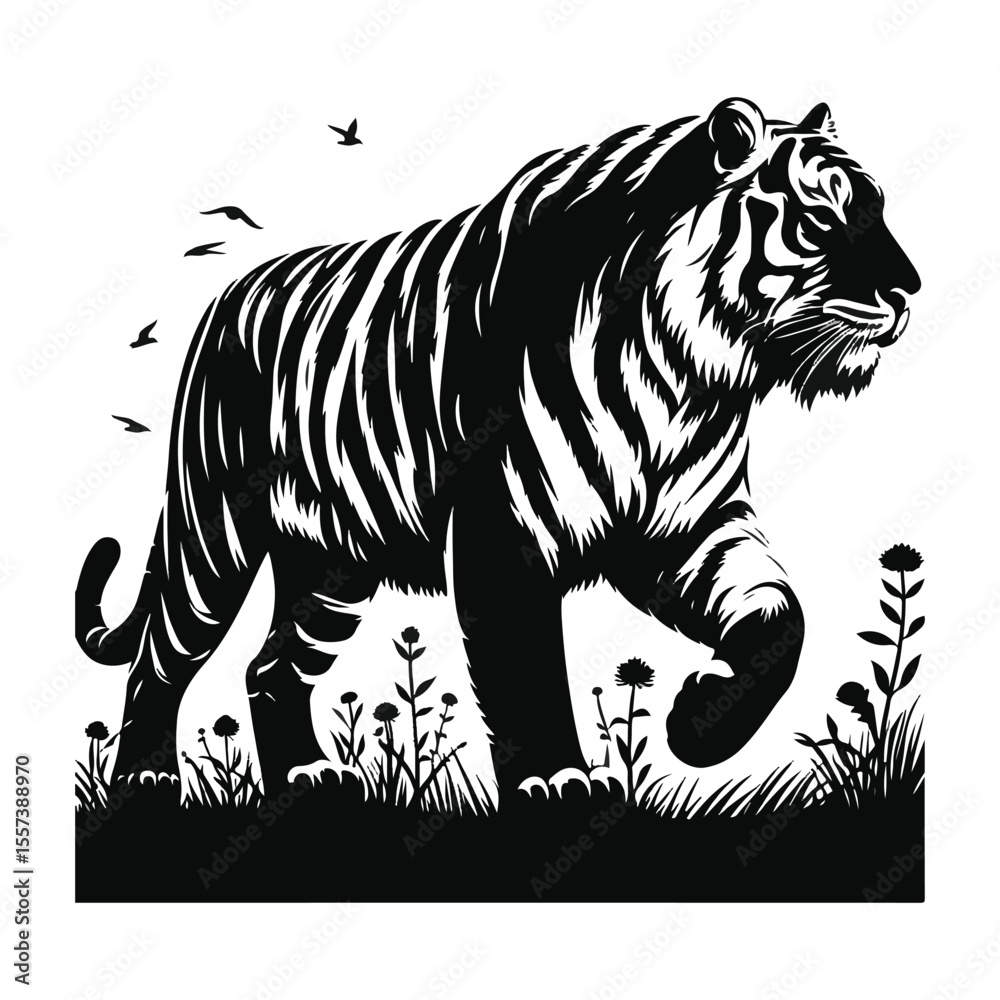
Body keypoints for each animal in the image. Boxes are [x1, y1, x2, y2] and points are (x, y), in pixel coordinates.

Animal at [76, 98, 920, 798]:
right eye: (821, 219)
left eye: (878, 208)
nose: (909, 289)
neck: (686, 377)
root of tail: (227, 296)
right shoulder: (502, 534)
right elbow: (526, 671)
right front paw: (556, 781)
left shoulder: (690, 526)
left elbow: (781, 622)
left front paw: (697, 722)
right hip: (212, 538)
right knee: (161, 660)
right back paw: (145, 781)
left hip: (331, 567)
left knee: (272, 667)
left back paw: (308, 777)